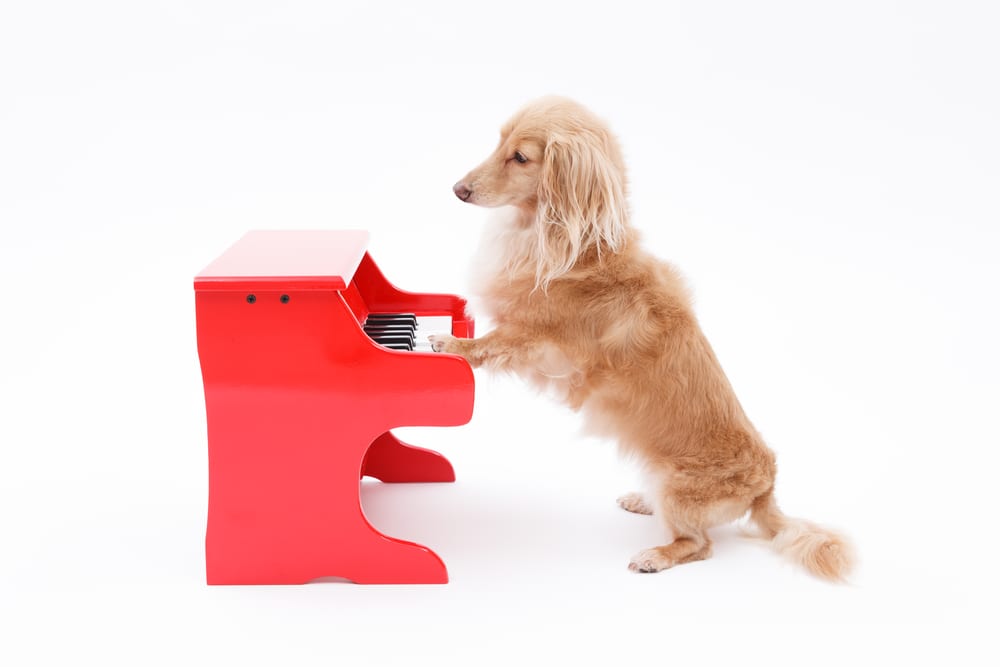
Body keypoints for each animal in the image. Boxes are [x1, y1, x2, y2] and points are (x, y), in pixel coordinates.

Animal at [428, 96, 852, 580]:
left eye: (520, 157)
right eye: (498, 142)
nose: (458, 189)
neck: (578, 246)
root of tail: (765, 489)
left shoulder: (539, 337)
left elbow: (494, 342)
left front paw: (454, 346)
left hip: (676, 487)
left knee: (698, 544)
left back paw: (656, 554)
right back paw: (642, 501)